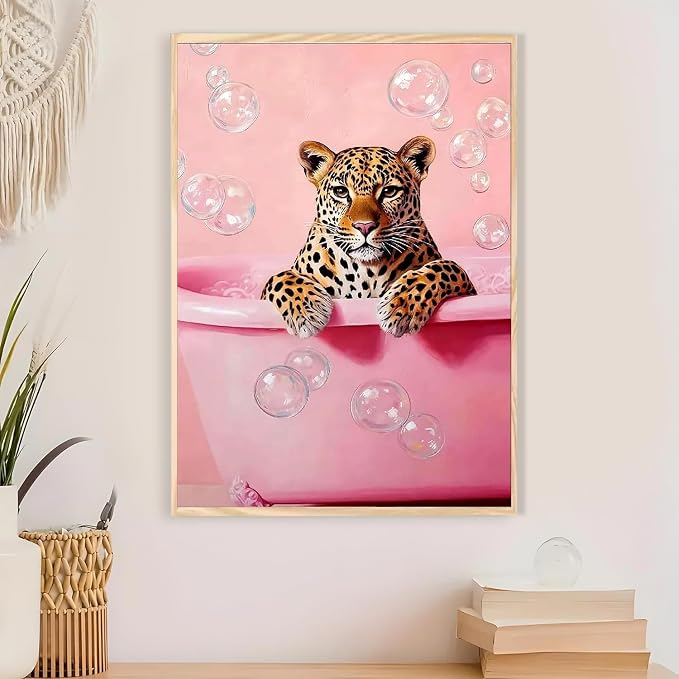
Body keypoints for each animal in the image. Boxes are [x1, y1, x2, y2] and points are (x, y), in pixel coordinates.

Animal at [261, 136, 476, 338]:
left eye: (389, 191)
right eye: (341, 191)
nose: (364, 226)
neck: (365, 270)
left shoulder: (468, 288)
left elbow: (447, 267)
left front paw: (402, 304)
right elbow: (278, 278)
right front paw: (307, 312)